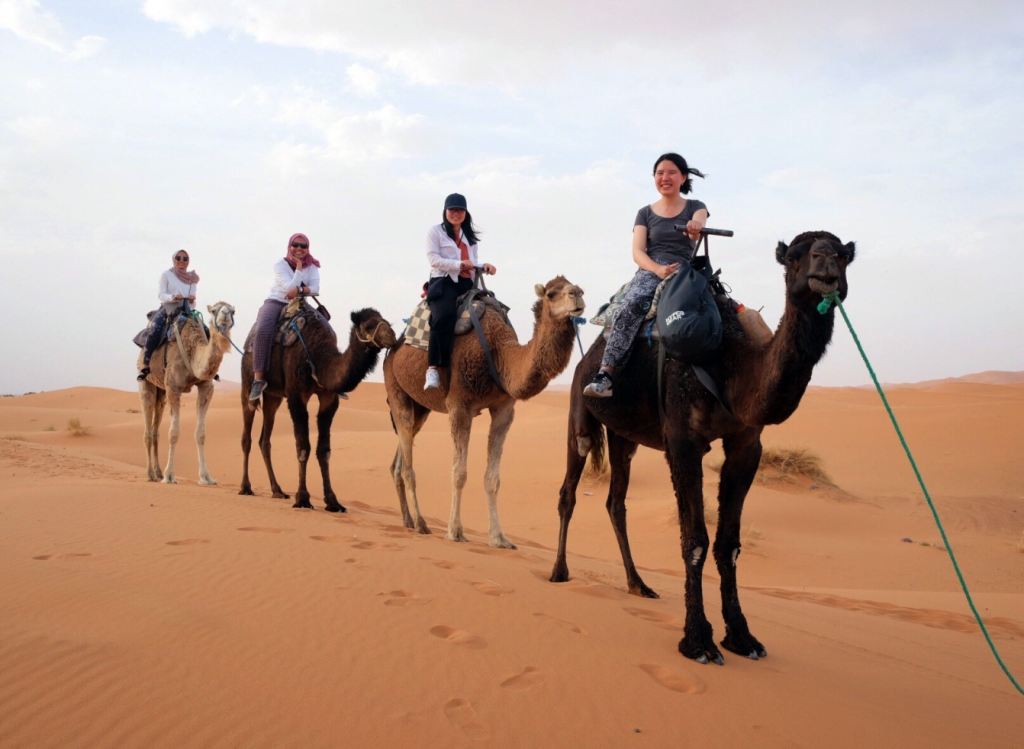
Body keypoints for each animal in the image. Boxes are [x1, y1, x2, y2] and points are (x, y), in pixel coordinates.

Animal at [137, 302, 238, 485]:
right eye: (214, 310)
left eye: (233, 311)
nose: (225, 314)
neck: (193, 353)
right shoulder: (173, 387)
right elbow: (174, 432)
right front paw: (170, 476)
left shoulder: (206, 386)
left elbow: (201, 433)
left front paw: (206, 477)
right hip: (146, 381)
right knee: (148, 427)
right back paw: (150, 474)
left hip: (161, 392)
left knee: (156, 430)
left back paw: (158, 472)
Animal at [239, 302, 397, 512]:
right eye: (368, 325)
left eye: (387, 321)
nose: (392, 335)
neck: (318, 358)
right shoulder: (296, 396)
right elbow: (303, 446)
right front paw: (302, 498)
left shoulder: (329, 398)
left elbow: (324, 450)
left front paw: (333, 501)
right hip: (248, 381)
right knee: (247, 435)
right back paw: (245, 487)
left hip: (273, 395)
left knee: (265, 440)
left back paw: (277, 490)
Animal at [384, 276, 586, 547]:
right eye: (552, 293)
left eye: (577, 287)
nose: (578, 294)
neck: (501, 357)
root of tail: (393, 348)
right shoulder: (459, 405)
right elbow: (459, 472)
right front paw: (454, 531)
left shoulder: (504, 409)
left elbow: (493, 478)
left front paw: (499, 538)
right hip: (396, 389)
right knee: (407, 461)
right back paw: (421, 523)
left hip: (421, 407)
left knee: (402, 453)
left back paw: (407, 519)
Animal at [550, 231, 855, 665]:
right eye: (794, 257)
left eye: (844, 255)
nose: (824, 260)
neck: (731, 364)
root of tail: (588, 358)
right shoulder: (682, 440)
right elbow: (694, 539)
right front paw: (698, 641)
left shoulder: (747, 444)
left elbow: (729, 544)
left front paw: (742, 636)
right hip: (581, 408)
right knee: (569, 490)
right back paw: (559, 572)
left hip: (625, 436)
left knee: (615, 502)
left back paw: (638, 584)